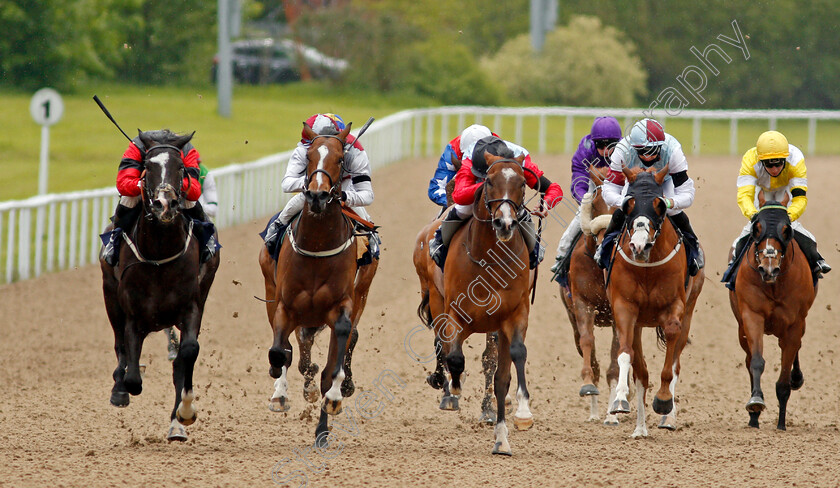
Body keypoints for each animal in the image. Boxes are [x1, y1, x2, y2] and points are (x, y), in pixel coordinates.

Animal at [99, 130, 220, 442]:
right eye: (148, 167)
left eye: (180, 168)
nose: (164, 204)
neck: (160, 254)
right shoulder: (133, 314)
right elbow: (132, 372)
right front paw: (123, 387)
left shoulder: (191, 307)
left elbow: (187, 354)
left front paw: (184, 413)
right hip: (110, 297)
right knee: (120, 347)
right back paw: (119, 388)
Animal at [608, 164, 704, 438]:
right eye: (628, 204)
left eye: (659, 204)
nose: (639, 245)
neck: (647, 268)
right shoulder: (625, 309)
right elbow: (625, 353)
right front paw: (620, 399)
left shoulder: (675, 307)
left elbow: (669, 359)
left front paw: (662, 400)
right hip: (640, 323)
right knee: (641, 371)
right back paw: (640, 428)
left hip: (690, 309)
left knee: (676, 362)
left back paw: (668, 418)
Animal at [728, 194, 812, 430]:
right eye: (757, 228)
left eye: (786, 229)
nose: (768, 269)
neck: (774, 284)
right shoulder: (752, 316)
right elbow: (756, 361)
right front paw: (756, 402)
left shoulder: (794, 325)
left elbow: (783, 381)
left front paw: (781, 424)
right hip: (741, 329)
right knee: (749, 360)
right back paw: (754, 418)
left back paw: (796, 378)